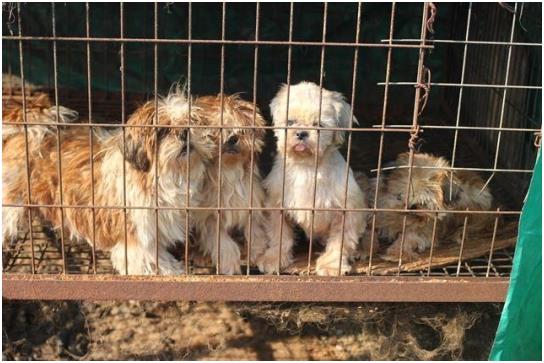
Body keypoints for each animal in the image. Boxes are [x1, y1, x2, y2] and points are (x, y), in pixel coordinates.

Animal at [4, 84, 218, 274]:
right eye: (163, 130)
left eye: (193, 122)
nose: (184, 133)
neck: (163, 176)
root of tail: (30, 130)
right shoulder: (136, 233)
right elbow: (144, 257)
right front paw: (164, 270)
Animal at [193, 95, 270, 274]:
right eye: (217, 130)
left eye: (240, 129)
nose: (232, 139)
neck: (229, 169)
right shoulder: (210, 217)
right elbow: (224, 244)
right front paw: (229, 266)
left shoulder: (252, 205)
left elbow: (255, 232)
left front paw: (256, 254)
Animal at [258, 82, 368, 276]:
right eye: (290, 122)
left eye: (319, 125)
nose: (301, 133)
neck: (306, 166)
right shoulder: (277, 204)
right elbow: (280, 235)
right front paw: (274, 258)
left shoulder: (347, 211)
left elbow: (339, 242)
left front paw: (331, 265)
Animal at [364, 152, 496, 264]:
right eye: (400, 196)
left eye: (425, 203)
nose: (412, 206)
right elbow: (369, 228)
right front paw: (366, 248)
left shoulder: (424, 231)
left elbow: (408, 237)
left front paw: (395, 253)